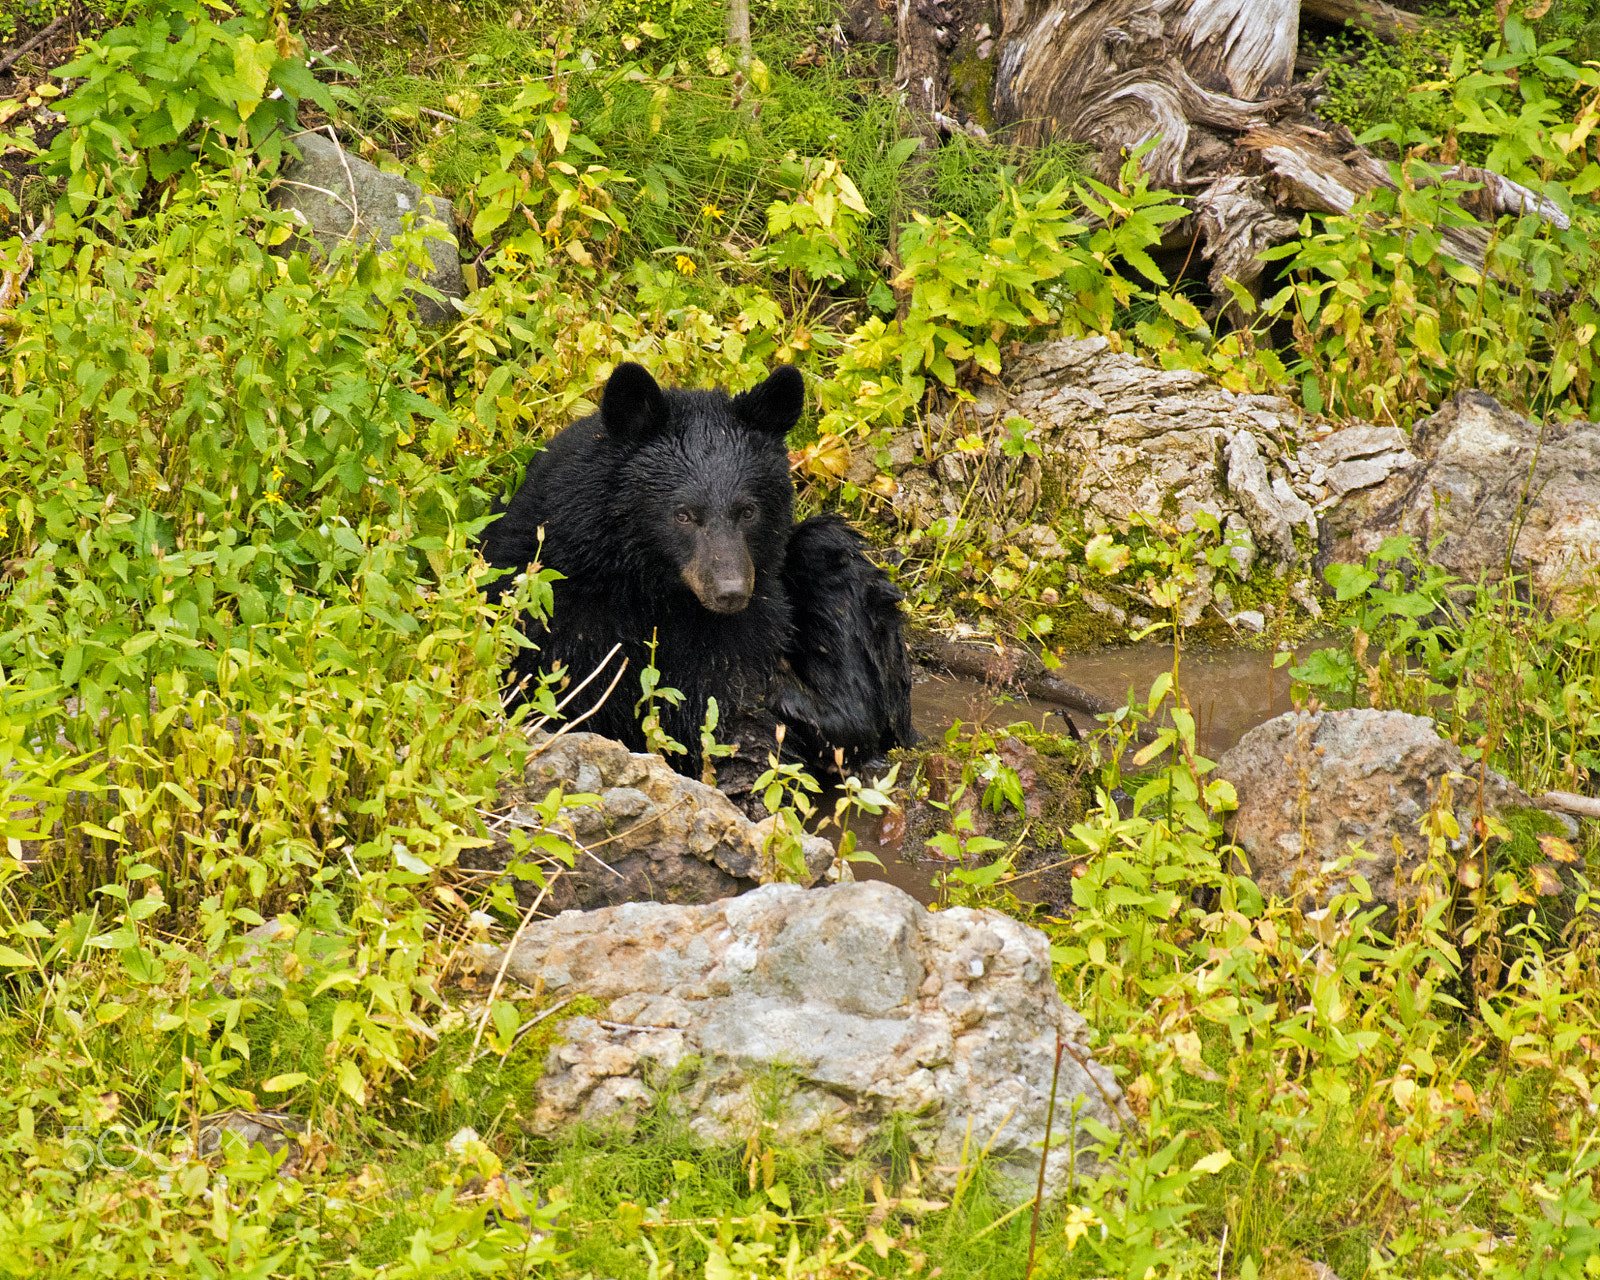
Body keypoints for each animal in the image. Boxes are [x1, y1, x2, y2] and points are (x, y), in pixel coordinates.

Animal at [480, 361, 914, 779]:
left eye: (748, 510)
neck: (653, 592)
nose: (730, 592)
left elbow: (726, 713)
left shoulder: (743, 630)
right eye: (684, 514)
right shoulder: (554, 612)